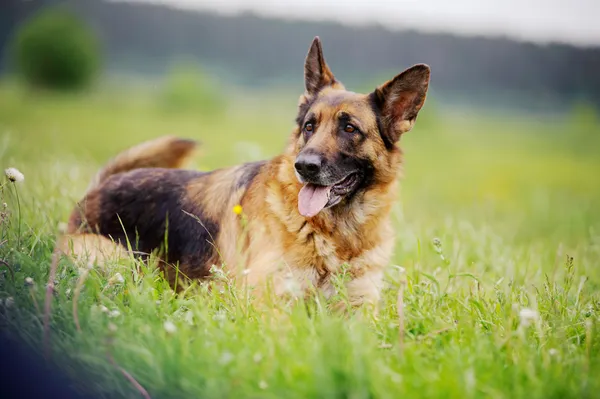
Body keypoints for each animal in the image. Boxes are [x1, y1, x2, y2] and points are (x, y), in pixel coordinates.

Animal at [58, 37, 428, 310]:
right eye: (309, 127)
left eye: (350, 129)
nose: (304, 166)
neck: (338, 234)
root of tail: (100, 187)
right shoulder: (272, 305)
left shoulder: (360, 313)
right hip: (118, 259)